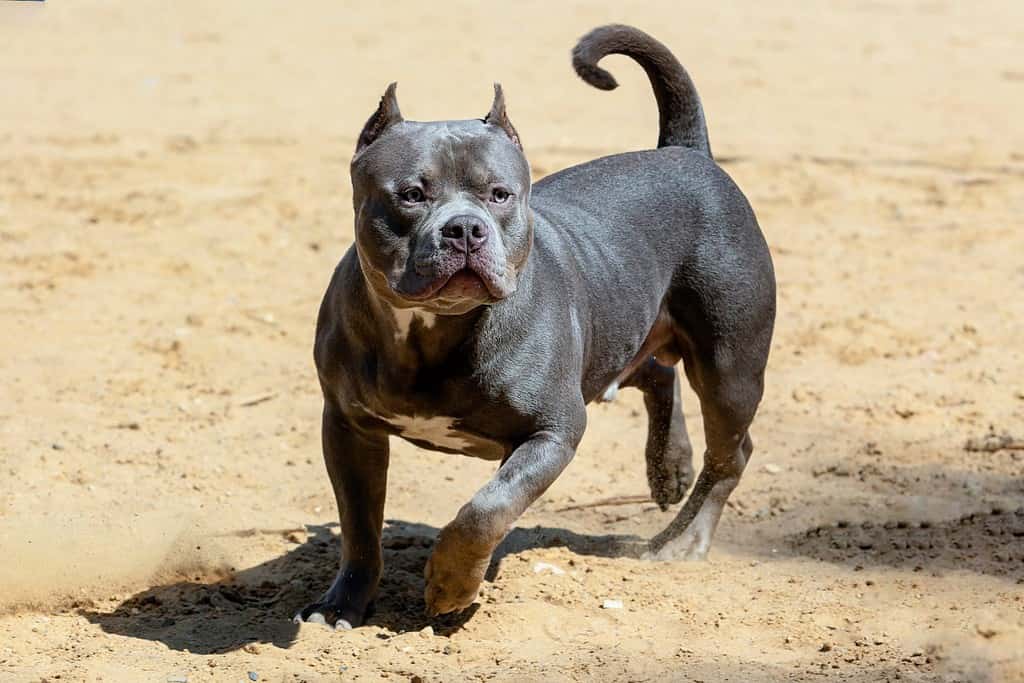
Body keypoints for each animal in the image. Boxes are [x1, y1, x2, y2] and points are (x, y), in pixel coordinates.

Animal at [296, 25, 774, 630]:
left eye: (500, 194)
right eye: (411, 195)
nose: (464, 229)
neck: (432, 332)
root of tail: (685, 151)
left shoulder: (553, 432)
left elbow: (486, 508)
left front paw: (451, 586)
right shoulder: (348, 428)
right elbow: (360, 527)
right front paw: (343, 604)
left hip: (729, 369)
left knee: (731, 453)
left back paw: (682, 542)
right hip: (622, 327)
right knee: (656, 377)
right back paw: (670, 467)